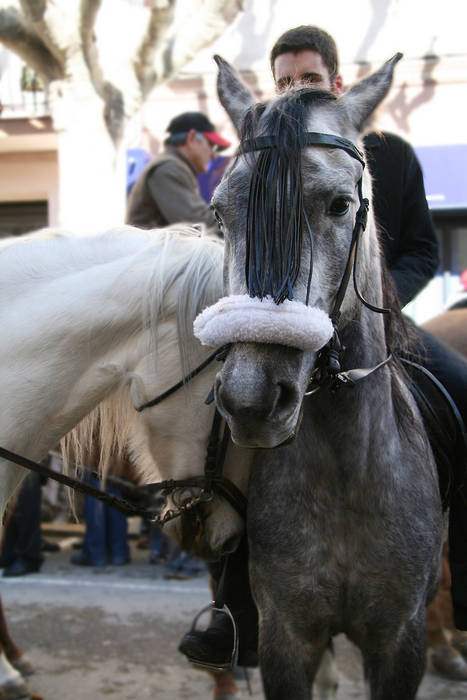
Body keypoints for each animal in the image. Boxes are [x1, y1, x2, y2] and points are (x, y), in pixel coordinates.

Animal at [196, 56, 444, 700]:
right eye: (220, 213)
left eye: (339, 205)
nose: (251, 399)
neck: (346, 472)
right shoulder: (287, 636)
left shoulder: (400, 639)